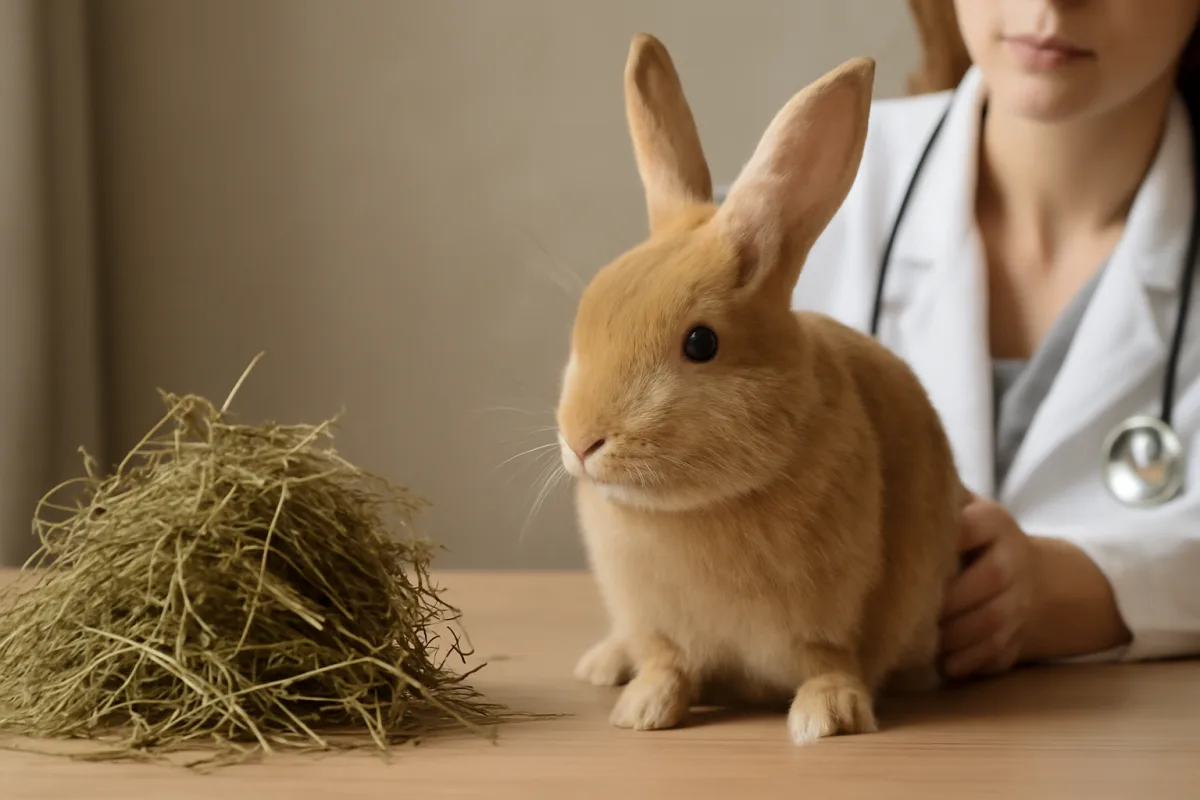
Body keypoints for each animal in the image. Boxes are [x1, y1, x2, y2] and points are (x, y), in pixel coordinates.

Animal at [554, 32, 965, 745]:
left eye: (700, 343)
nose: (582, 442)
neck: (698, 508)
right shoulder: (657, 624)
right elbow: (666, 663)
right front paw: (642, 712)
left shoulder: (829, 617)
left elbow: (828, 661)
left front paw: (827, 719)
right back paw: (605, 666)